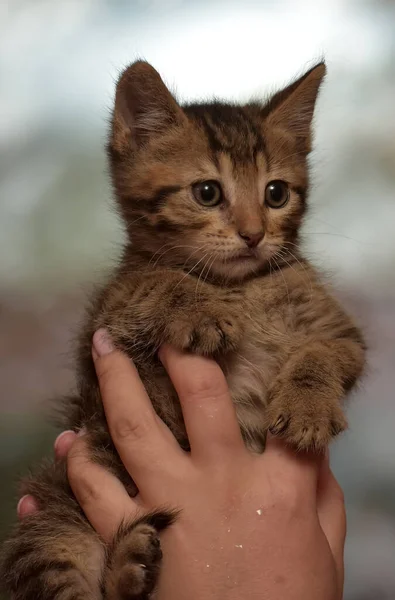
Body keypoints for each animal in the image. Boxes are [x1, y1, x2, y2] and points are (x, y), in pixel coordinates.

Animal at [0, 61, 366, 600]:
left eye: (276, 193)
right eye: (207, 192)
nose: (254, 234)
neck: (238, 287)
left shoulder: (343, 333)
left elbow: (323, 353)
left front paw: (308, 406)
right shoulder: (103, 323)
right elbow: (154, 280)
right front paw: (199, 310)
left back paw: (131, 562)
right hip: (51, 520)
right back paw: (128, 562)